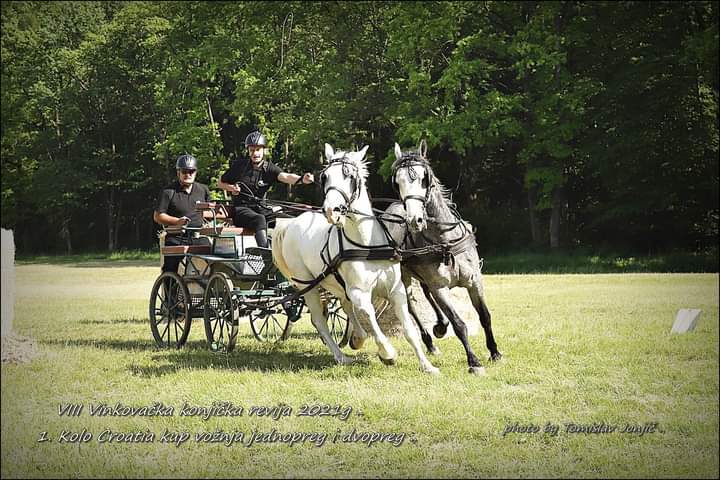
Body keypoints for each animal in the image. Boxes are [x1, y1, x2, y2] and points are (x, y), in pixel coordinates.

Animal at [270, 142, 438, 376]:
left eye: (349, 176)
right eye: (325, 177)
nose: (331, 211)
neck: (366, 243)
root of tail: (290, 223)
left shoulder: (395, 290)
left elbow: (409, 330)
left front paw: (427, 365)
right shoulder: (359, 293)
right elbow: (369, 317)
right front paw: (388, 353)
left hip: (333, 282)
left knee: (343, 304)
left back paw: (357, 338)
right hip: (307, 285)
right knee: (319, 320)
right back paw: (342, 356)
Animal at [388, 141, 500, 374]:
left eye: (424, 178)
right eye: (398, 182)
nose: (415, 220)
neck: (445, 240)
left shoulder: (475, 281)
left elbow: (485, 316)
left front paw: (495, 352)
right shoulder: (439, 287)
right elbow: (459, 324)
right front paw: (474, 362)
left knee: (425, 293)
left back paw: (440, 326)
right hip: (403, 276)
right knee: (411, 305)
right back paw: (430, 340)